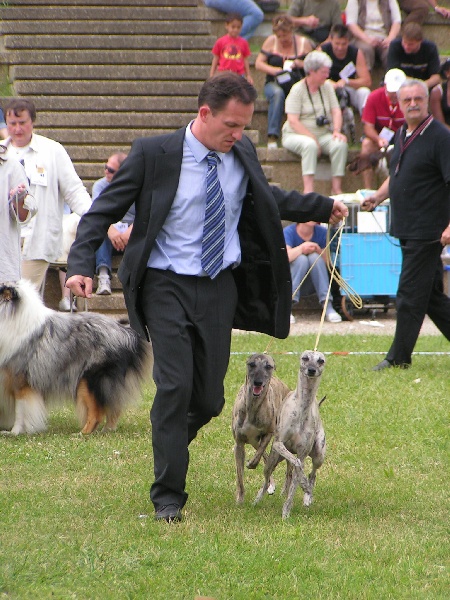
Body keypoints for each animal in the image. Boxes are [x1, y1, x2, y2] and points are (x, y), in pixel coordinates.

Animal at [0, 278, 153, 434]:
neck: (12, 316)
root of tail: (127, 331)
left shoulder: (19, 380)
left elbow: (20, 410)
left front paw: (15, 432)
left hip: (89, 380)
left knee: (96, 413)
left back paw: (82, 434)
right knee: (113, 408)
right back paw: (106, 430)